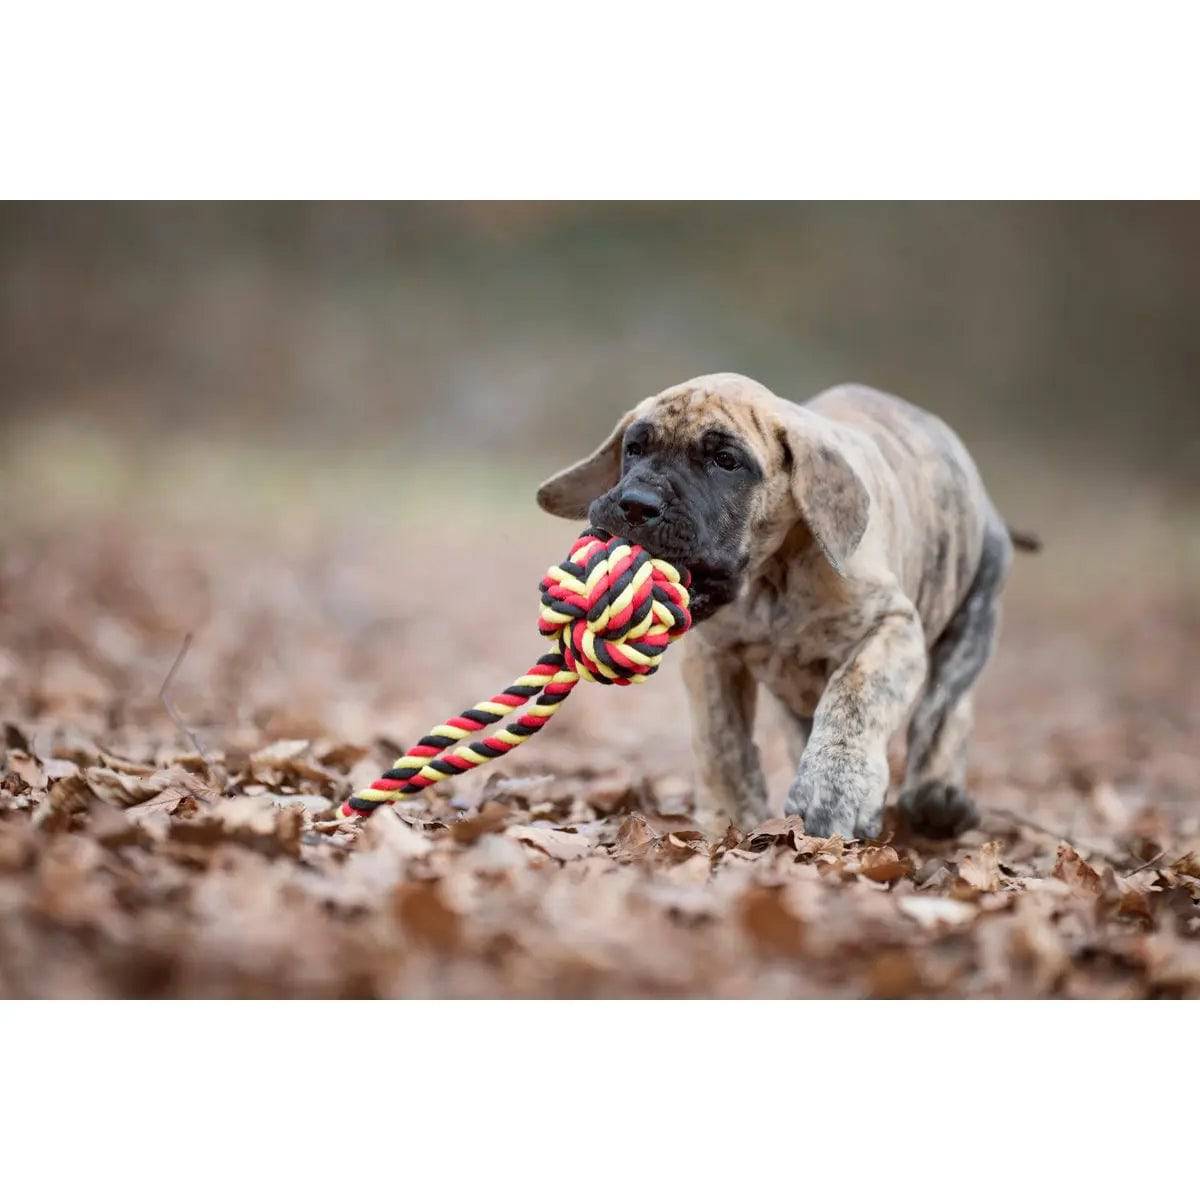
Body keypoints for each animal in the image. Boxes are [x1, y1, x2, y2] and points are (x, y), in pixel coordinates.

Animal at [537, 369, 1032, 840]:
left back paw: (937, 798)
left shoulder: (892, 626)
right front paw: (730, 819)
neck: (771, 580)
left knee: (943, 708)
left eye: (725, 461)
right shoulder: (712, 656)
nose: (637, 504)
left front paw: (834, 791)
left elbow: (855, 695)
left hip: (974, 612)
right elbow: (721, 740)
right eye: (635, 449)